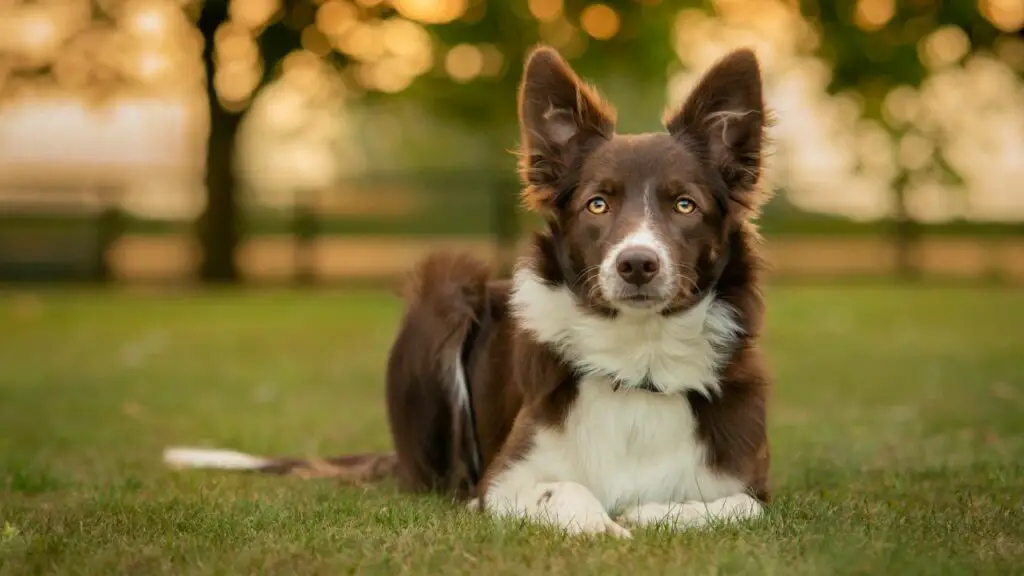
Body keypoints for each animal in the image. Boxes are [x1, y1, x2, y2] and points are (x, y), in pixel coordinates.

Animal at [163, 43, 770, 532]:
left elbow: (738, 506)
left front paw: (650, 512)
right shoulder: (499, 485)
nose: (637, 264)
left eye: (685, 205)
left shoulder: (752, 483)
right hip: (446, 291)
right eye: (598, 204)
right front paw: (610, 527)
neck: (638, 361)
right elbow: (564, 490)